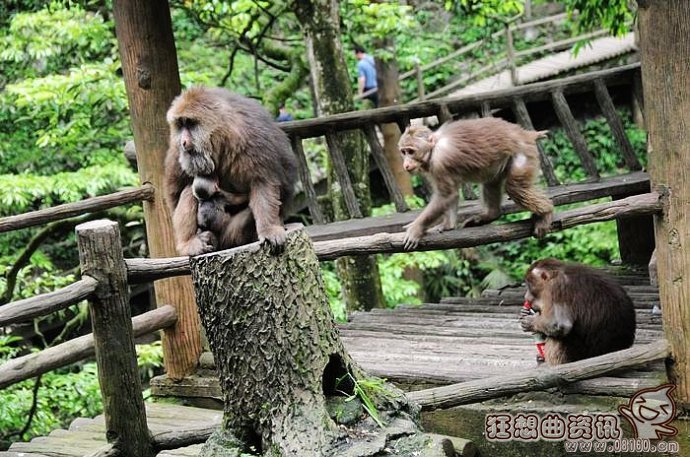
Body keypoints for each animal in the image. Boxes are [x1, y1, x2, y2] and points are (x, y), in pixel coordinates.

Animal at [167, 87, 298, 255]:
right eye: (180, 124)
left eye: (190, 124)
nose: (183, 142)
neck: (220, 139)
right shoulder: (177, 151)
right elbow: (175, 194)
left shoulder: (252, 139)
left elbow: (262, 181)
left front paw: (269, 229)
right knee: (189, 190)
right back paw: (190, 243)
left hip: (229, 236)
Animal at [396, 116, 552, 248]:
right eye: (403, 152)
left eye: (411, 151)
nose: (406, 164)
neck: (434, 148)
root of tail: (525, 134)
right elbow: (450, 196)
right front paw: (447, 226)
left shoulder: (441, 161)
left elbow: (446, 195)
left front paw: (416, 228)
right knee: (491, 181)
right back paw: (491, 215)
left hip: (523, 153)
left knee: (515, 188)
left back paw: (546, 213)